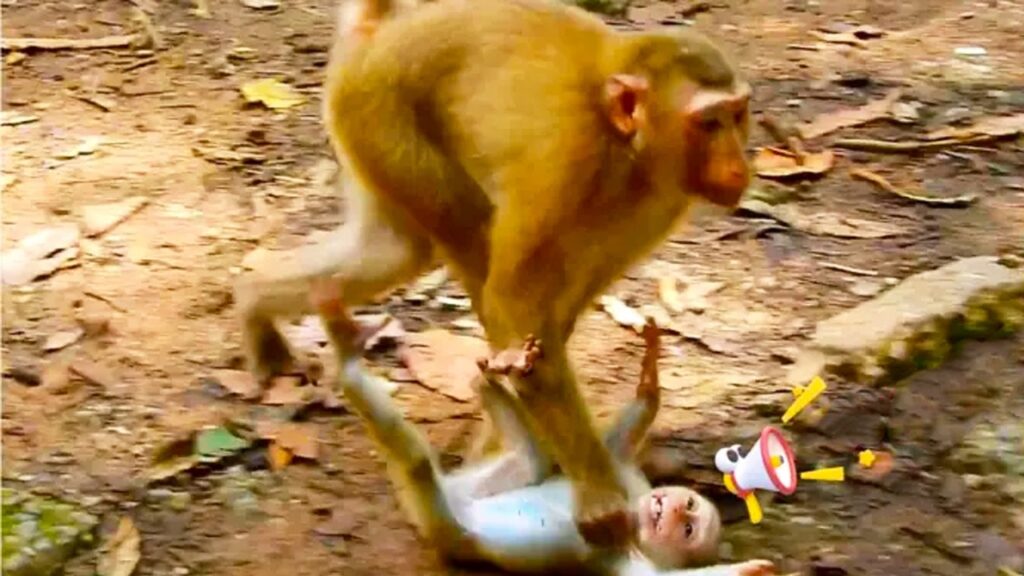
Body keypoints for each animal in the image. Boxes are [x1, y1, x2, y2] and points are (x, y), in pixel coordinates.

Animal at [233, 0, 751, 546]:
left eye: (737, 115)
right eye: (709, 123)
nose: (739, 166)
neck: (622, 144)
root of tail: (384, 29)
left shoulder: (661, 200)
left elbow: (561, 312)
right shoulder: (564, 160)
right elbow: (513, 305)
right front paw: (597, 491)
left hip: (362, 126)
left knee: (394, 251)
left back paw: (253, 300)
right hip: (381, 113)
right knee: (469, 242)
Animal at [310, 281, 775, 576]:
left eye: (688, 530)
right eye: (690, 507)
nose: (674, 508)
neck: (634, 520)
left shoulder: (629, 558)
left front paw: (747, 569)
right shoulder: (630, 486)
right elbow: (612, 450)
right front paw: (649, 382)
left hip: (441, 518)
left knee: (422, 464)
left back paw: (348, 354)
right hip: (476, 484)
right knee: (529, 458)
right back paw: (495, 372)